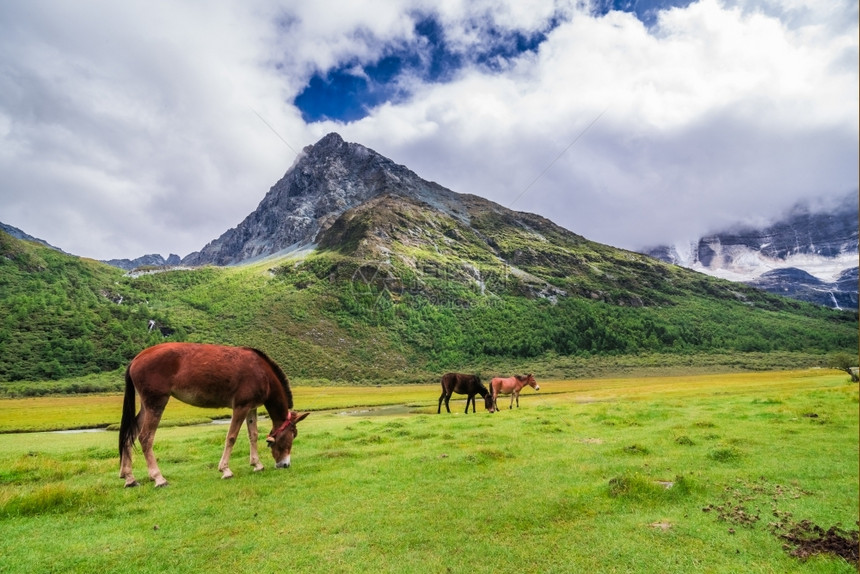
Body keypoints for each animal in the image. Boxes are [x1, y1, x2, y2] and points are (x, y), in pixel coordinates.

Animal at [118, 344, 310, 488]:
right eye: (292, 436)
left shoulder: (251, 408)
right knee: (145, 437)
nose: (285, 464)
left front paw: (257, 464)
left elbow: (253, 435)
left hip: (146, 406)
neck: (262, 372)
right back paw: (158, 478)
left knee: (130, 435)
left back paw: (129, 478)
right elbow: (231, 437)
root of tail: (136, 359)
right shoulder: (240, 407)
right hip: (156, 403)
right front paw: (225, 470)